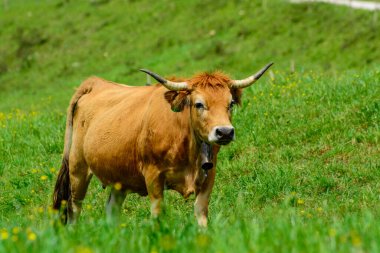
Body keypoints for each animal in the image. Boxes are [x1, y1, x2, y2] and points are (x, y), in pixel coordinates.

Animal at [53, 62, 274, 226]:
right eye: (199, 104)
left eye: (230, 104)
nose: (225, 132)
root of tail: (95, 83)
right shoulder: (153, 176)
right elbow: (158, 214)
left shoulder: (209, 174)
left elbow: (201, 213)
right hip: (77, 168)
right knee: (74, 208)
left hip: (119, 176)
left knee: (112, 211)